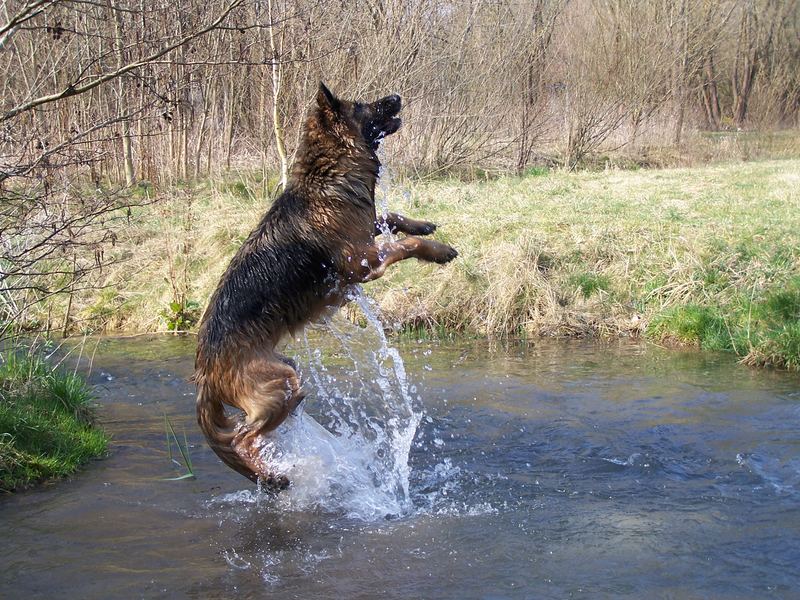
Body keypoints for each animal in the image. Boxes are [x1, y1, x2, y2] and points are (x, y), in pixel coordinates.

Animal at [193, 83, 456, 488]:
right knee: (242, 437)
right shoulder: (360, 262)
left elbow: (390, 217)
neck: (327, 175)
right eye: (362, 105)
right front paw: (438, 250)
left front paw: (422, 224)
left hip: (284, 367)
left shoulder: (366, 232)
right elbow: (404, 245)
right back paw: (270, 475)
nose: (395, 97)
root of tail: (205, 373)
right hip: (276, 385)